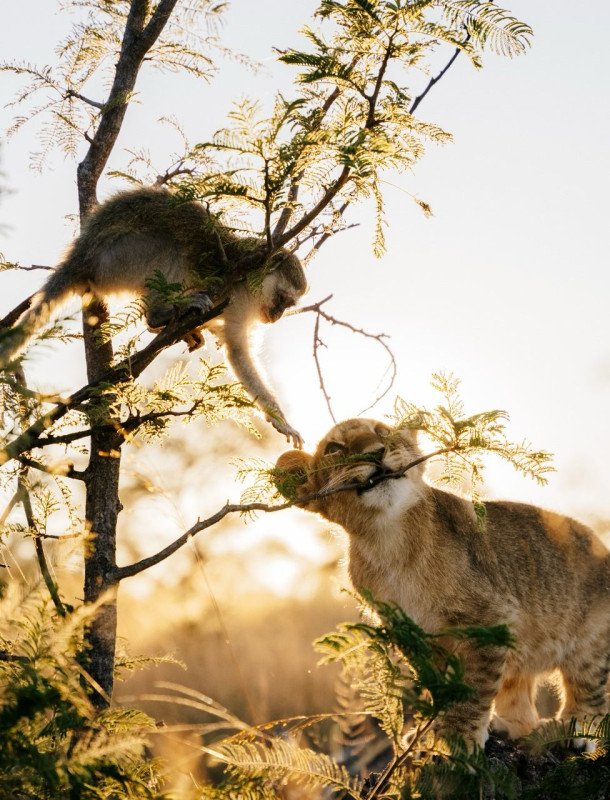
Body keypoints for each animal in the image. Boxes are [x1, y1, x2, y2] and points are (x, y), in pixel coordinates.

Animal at [0, 189, 304, 450]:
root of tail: (81, 254)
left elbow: (237, 351)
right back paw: (160, 315)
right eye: (283, 300)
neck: (247, 288)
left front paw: (279, 419)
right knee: (169, 251)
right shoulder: (229, 283)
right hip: (118, 257)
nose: (276, 318)